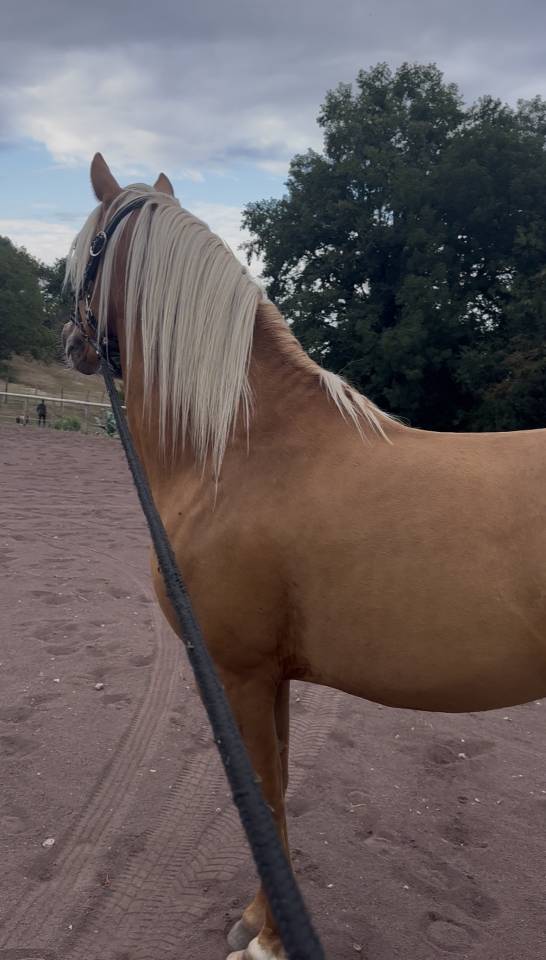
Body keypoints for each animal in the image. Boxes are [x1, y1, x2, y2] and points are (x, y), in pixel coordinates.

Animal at [63, 153, 546, 960]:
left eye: (79, 256)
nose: (70, 340)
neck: (238, 450)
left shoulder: (239, 672)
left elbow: (261, 795)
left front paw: (266, 940)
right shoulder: (274, 676)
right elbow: (280, 786)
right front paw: (263, 920)